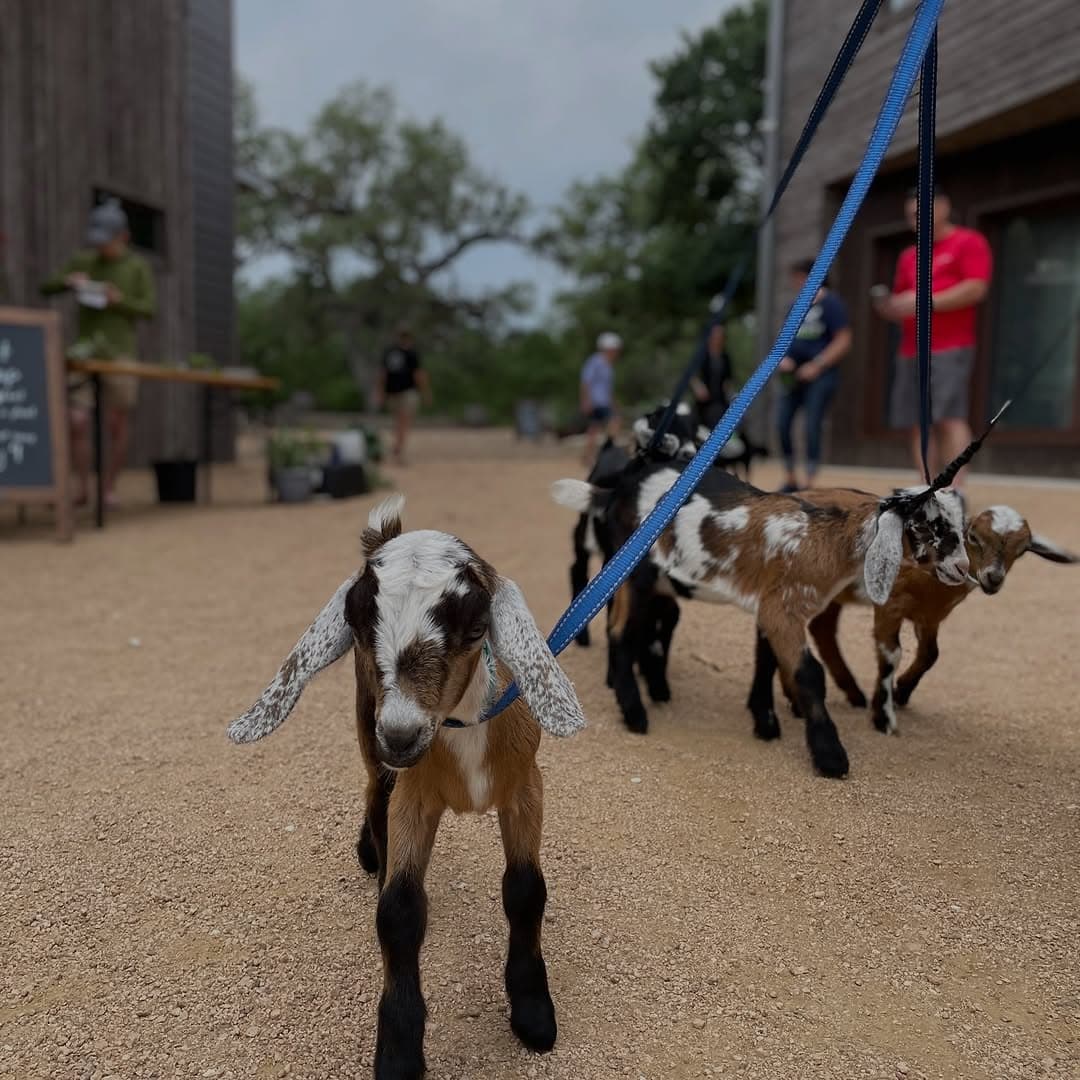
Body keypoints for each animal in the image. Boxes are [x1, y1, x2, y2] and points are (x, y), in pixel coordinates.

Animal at [227, 496, 585, 1079]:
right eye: (355, 620)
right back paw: (371, 853)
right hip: (366, 728)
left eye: (477, 624)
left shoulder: (526, 787)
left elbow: (526, 890)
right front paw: (398, 1053)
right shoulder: (412, 798)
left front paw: (534, 1013)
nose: (400, 733)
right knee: (375, 792)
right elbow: (398, 910)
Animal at [553, 449, 979, 778]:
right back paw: (635, 714)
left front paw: (765, 722)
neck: (827, 537)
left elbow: (767, 661)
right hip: (635, 576)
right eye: (929, 526)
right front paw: (830, 756)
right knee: (621, 633)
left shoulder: (771, 605)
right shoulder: (783, 609)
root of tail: (617, 490)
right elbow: (808, 673)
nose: (962, 568)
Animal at [785, 497, 1077, 732]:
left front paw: (902, 692)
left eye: (1023, 549)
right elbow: (891, 653)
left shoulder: (930, 617)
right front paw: (883, 711)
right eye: (973, 537)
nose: (993, 579)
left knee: (822, 628)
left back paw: (852, 693)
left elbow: (930, 654)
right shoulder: (890, 604)